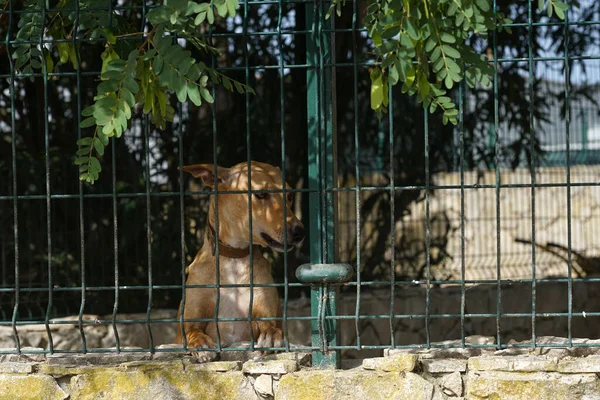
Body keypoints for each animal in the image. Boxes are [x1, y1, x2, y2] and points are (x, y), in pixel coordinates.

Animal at [173, 161, 304, 360]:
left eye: (289, 196)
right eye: (261, 194)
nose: (299, 231)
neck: (234, 260)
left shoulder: (263, 314)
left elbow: (271, 327)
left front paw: (272, 335)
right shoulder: (185, 327)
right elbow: (191, 332)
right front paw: (200, 343)